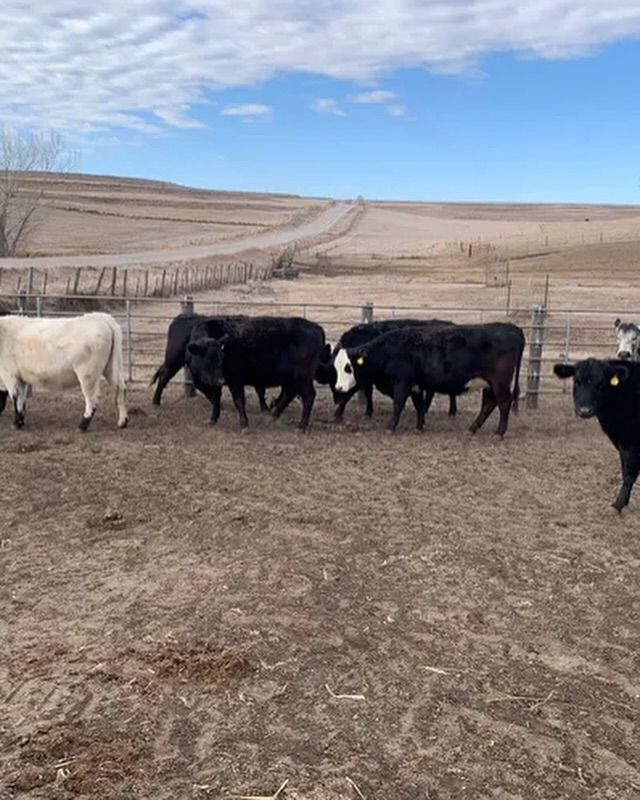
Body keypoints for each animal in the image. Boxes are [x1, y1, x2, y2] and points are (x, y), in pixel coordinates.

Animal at [186, 316, 326, 430]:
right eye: (207, 359)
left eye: (221, 357)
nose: (220, 380)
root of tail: (316, 327)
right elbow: (216, 399)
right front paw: (213, 419)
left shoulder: (235, 379)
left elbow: (239, 400)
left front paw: (244, 424)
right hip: (292, 377)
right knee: (289, 393)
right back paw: (274, 415)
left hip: (302, 376)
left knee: (308, 395)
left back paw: (301, 426)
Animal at [315, 318, 459, 420]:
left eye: (333, 378)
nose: (336, 399)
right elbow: (368, 393)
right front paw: (368, 411)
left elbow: (352, 394)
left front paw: (338, 413)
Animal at [333, 322, 524, 436]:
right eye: (336, 367)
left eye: (348, 367)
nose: (339, 388)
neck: (390, 350)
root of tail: (512, 328)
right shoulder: (416, 386)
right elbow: (419, 406)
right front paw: (419, 427)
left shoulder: (402, 383)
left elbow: (398, 405)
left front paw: (390, 427)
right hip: (489, 384)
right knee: (489, 404)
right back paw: (472, 428)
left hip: (499, 383)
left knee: (503, 403)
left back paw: (499, 432)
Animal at [554, 358, 640, 512]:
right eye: (576, 381)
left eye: (600, 383)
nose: (584, 410)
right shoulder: (621, 442)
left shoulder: (629, 441)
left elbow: (629, 473)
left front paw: (617, 505)